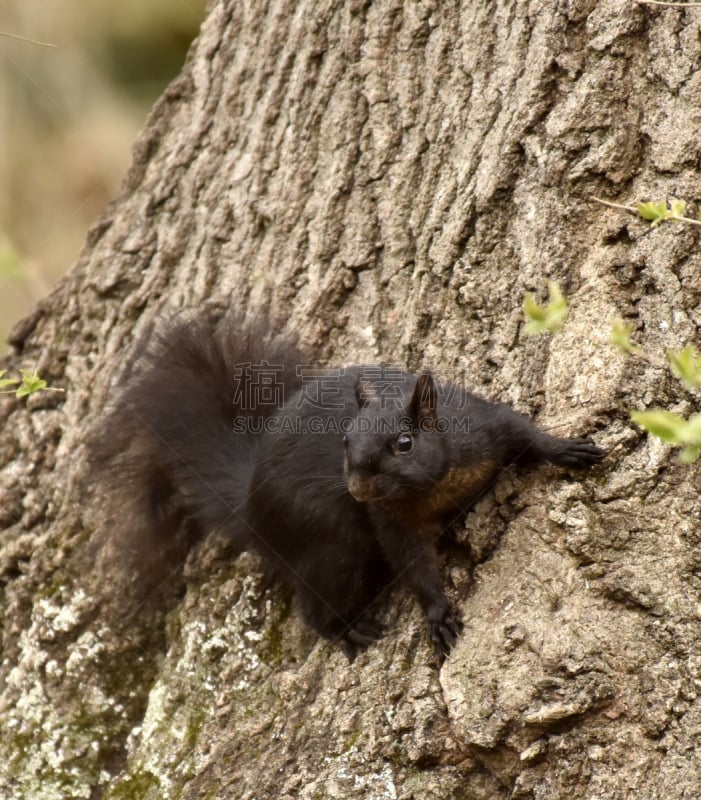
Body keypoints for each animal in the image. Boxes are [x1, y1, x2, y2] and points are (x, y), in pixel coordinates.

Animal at [90, 310, 604, 660]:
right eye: (344, 441)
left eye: (404, 443)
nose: (356, 487)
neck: (434, 485)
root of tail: (252, 510)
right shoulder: (387, 523)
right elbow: (412, 565)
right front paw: (437, 613)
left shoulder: (486, 426)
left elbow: (526, 432)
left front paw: (567, 449)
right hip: (334, 547)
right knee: (312, 604)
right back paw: (344, 630)